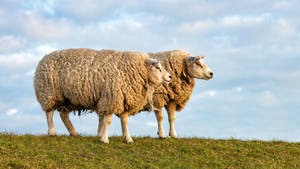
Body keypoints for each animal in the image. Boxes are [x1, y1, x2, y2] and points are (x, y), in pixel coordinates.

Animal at [33, 48, 170, 143]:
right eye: (158, 68)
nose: (170, 76)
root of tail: (43, 59)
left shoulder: (123, 100)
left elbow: (124, 121)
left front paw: (128, 138)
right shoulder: (111, 98)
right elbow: (108, 121)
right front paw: (104, 139)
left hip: (67, 98)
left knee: (63, 115)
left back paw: (74, 132)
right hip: (48, 93)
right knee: (49, 113)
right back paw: (52, 131)